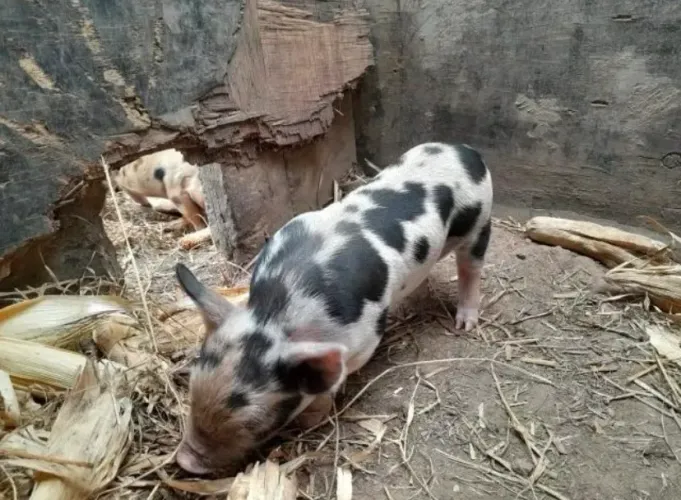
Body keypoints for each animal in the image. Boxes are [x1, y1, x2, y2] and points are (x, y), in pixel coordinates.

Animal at [174, 141, 493, 475]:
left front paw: (312, 421)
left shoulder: (363, 340)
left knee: (471, 268)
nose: (185, 461)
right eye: (192, 384)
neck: (277, 313)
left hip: (480, 220)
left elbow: (332, 383)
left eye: (259, 424)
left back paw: (465, 324)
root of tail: (464, 150)